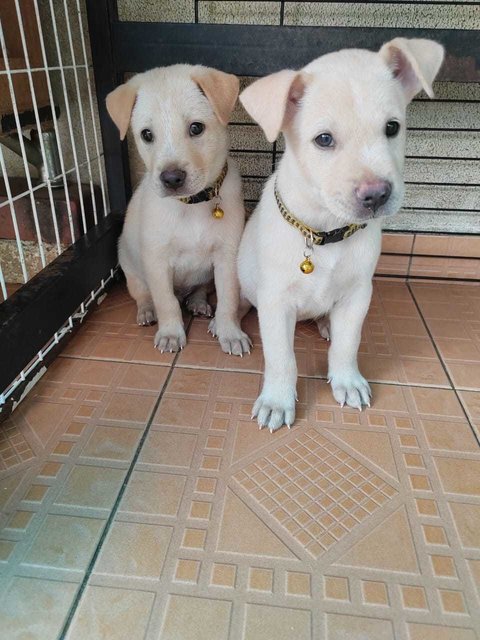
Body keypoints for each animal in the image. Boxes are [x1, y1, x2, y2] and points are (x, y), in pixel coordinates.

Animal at [106, 65, 251, 356]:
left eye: (196, 128)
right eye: (146, 134)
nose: (171, 179)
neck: (191, 205)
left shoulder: (227, 256)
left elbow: (228, 300)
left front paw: (230, 333)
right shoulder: (157, 260)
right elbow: (166, 302)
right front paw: (171, 333)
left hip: (206, 276)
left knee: (200, 290)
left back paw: (198, 302)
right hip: (130, 266)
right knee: (145, 295)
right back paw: (147, 312)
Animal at [238, 38, 444, 430]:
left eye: (392, 127)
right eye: (324, 139)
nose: (376, 195)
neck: (324, 231)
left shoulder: (358, 294)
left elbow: (349, 343)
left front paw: (347, 380)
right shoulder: (275, 302)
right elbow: (282, 357)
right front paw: (277, 400)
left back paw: (326, 325)